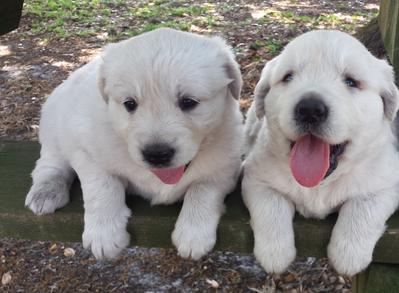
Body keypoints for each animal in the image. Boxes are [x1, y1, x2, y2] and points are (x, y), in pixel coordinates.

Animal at [25, 28, 244, 258]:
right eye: (129, 104)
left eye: (189, 102)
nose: (156, 154)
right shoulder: (86, 150)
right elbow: (102, 185)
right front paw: (104, 234)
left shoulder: (226, 166)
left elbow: (203, 188)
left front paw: (193, 233)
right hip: (53, 125)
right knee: (49, 164)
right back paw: (46, 192)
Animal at [242, 30, 399, 276]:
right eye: (288, 77)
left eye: (351, 81)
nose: (310, 109)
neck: (319, 185)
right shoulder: (255, 178)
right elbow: (271, 204)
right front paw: (275, 253)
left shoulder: (386, 183)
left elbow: (363, 206)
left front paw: (348, 254)